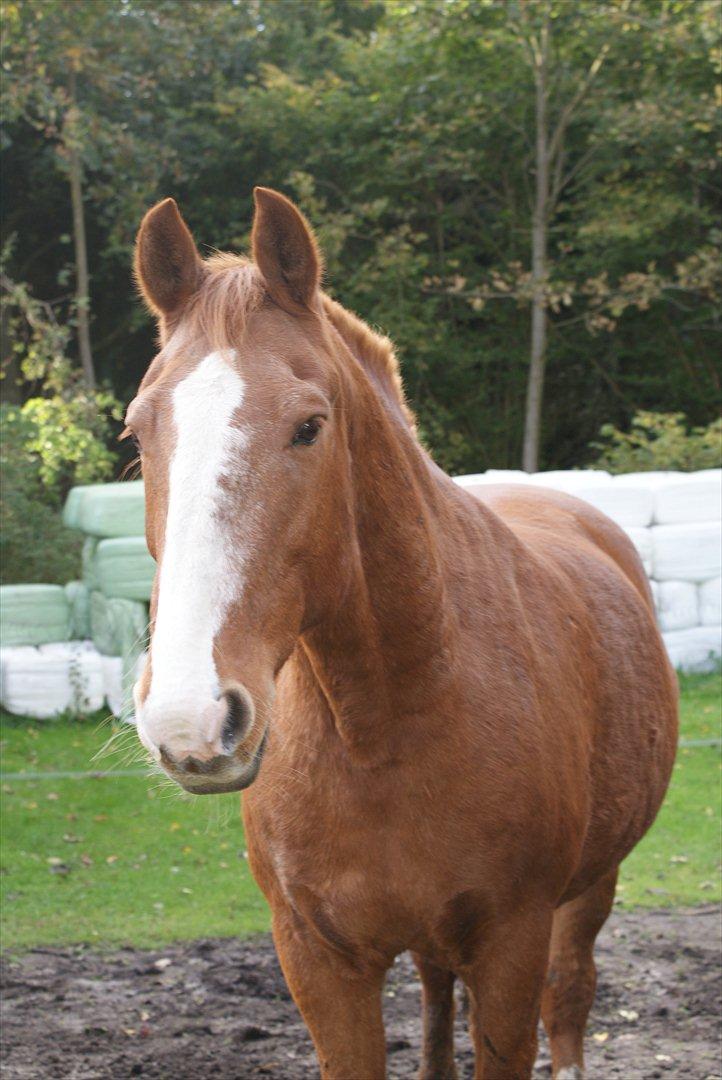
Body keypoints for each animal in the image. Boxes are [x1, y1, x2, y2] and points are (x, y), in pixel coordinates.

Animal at [127, 187, 677, 1080]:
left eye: (309, 426)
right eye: (137, 435)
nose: (191, 719)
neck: (385, 720)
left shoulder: (511, 948)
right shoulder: (317, 959)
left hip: (592, 887)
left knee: (572, 991)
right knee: (434, 991)